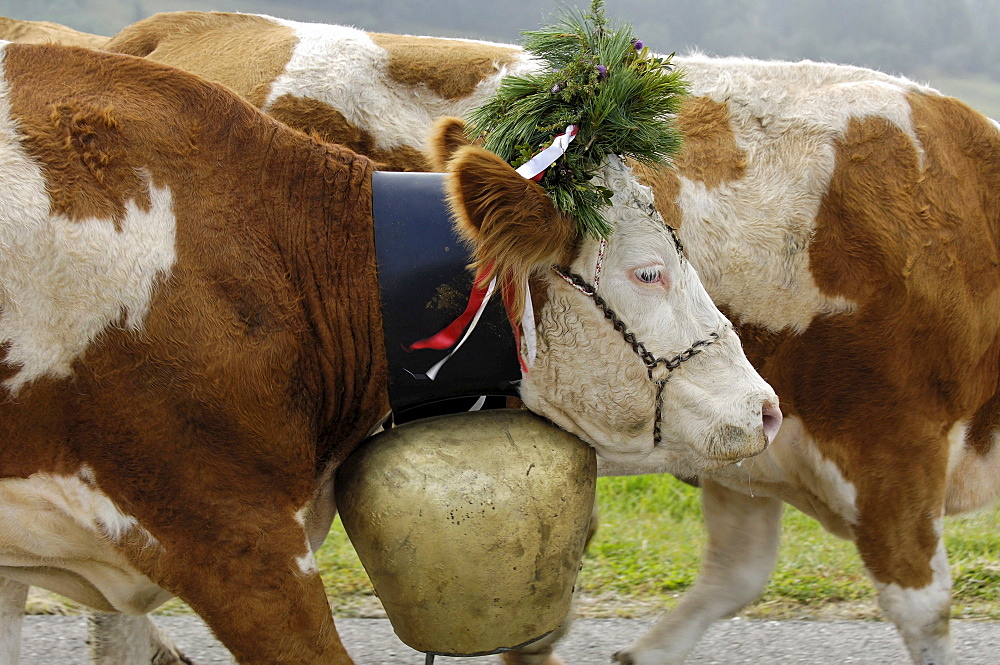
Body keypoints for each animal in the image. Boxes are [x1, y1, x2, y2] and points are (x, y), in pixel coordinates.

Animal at [103, 9, 1000, 664]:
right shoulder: (892, 447)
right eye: (649, 271)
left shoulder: (746, 441)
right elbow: (925, 609)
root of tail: (176, 26)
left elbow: (733, 576)